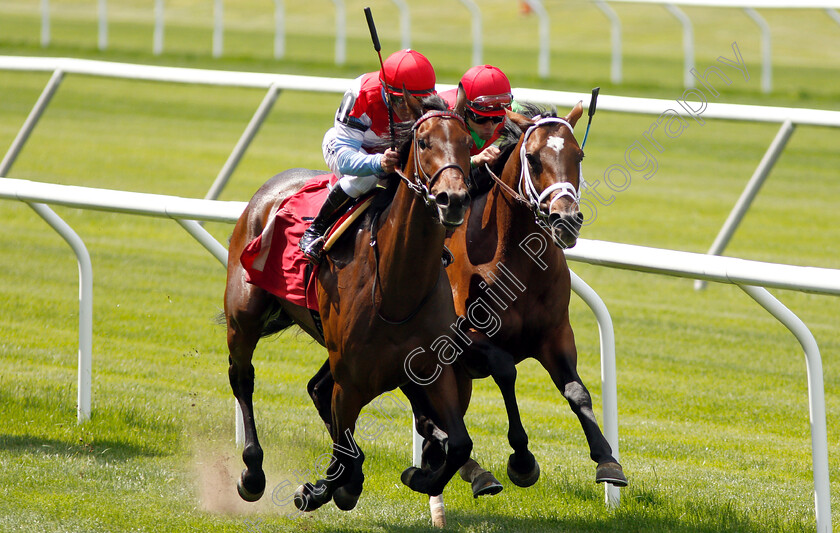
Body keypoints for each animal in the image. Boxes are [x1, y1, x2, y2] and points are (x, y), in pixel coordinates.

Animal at [225, 91, 480, 512]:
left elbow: (459, 442)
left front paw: (419, 476)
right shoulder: (351, 380)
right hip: (243, 313)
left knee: (315, 390)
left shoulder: (434, 369)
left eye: (467, 144)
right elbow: (344, 442)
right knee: (242, 378)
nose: (453, 199)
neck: (395, 288)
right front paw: (318, 490)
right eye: (423, 142)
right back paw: (252, 472)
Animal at [442, 100, 628, 490]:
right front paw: (522, 459)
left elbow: (577, 391)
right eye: (532, 157)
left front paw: (607, 459)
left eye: (579, 154)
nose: (566, 220)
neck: (518, 263)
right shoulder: (465, 337)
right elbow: (505, 369)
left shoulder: (556, 333)